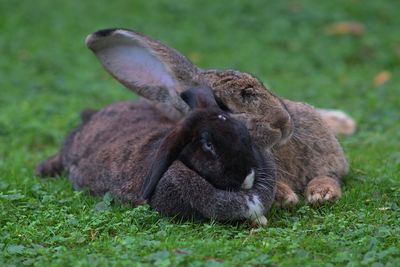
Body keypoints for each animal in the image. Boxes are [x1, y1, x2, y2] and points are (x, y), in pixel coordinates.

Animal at [84, 28, 354, 206]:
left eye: (259, 82)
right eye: (222, 106)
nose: (282, 123)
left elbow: (329, 175)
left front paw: (322, 193)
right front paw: (286, 196)